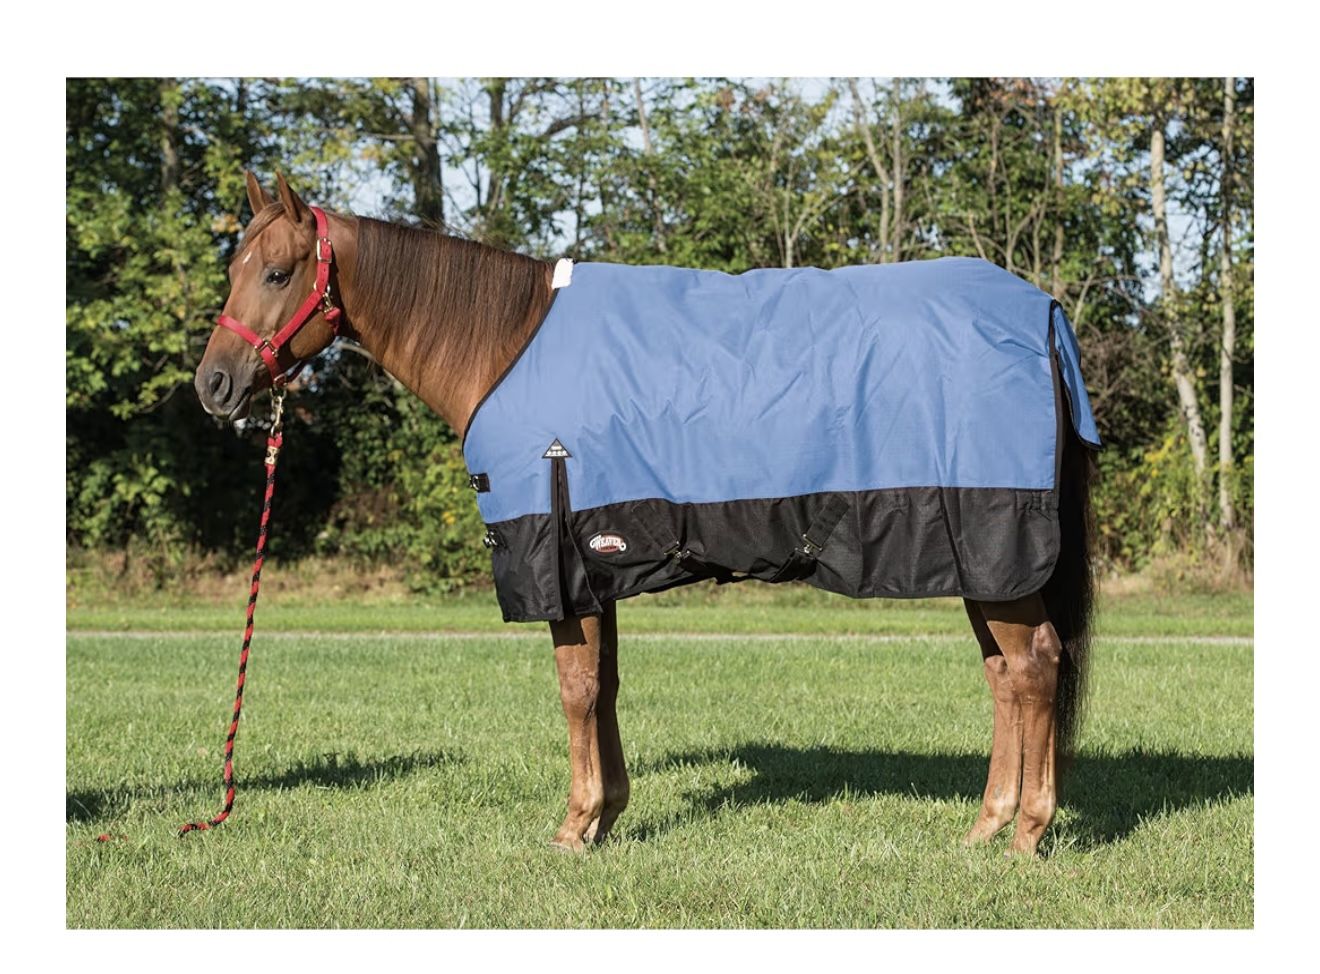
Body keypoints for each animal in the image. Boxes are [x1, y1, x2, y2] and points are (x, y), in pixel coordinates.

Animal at [195, 171, 1095, 857]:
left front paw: (574, 826)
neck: (506, 344)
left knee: (1036, 667)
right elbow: (607, 686)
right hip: (980, 564)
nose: (214, 385)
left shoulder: (555, 559)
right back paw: (986, 827)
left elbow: (575, 689)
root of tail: (1043, 317)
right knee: (1007, 677)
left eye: (278, 273)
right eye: (235, 267)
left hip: (998, 549)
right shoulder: (598, 559)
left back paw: (1027, 835)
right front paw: (607, 815)